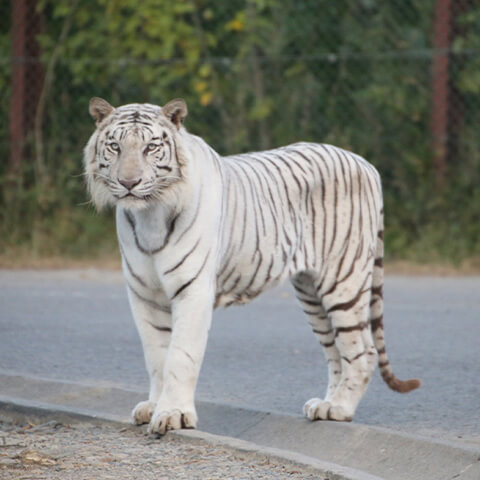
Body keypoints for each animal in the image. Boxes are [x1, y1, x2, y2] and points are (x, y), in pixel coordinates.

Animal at [83, 97, 420, 436]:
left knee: (362, 350)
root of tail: (364, 164)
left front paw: (174, 414)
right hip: (311, 291)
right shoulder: (145, 295)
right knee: (335, 351)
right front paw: (154, 407)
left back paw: (340, 408)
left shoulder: (192, 291)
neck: (149, 214)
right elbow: (156, 356)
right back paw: (325, 405)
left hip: (342, 281)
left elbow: (180, 356)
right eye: (114, 146)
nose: (129, 183)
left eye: (151, 147)